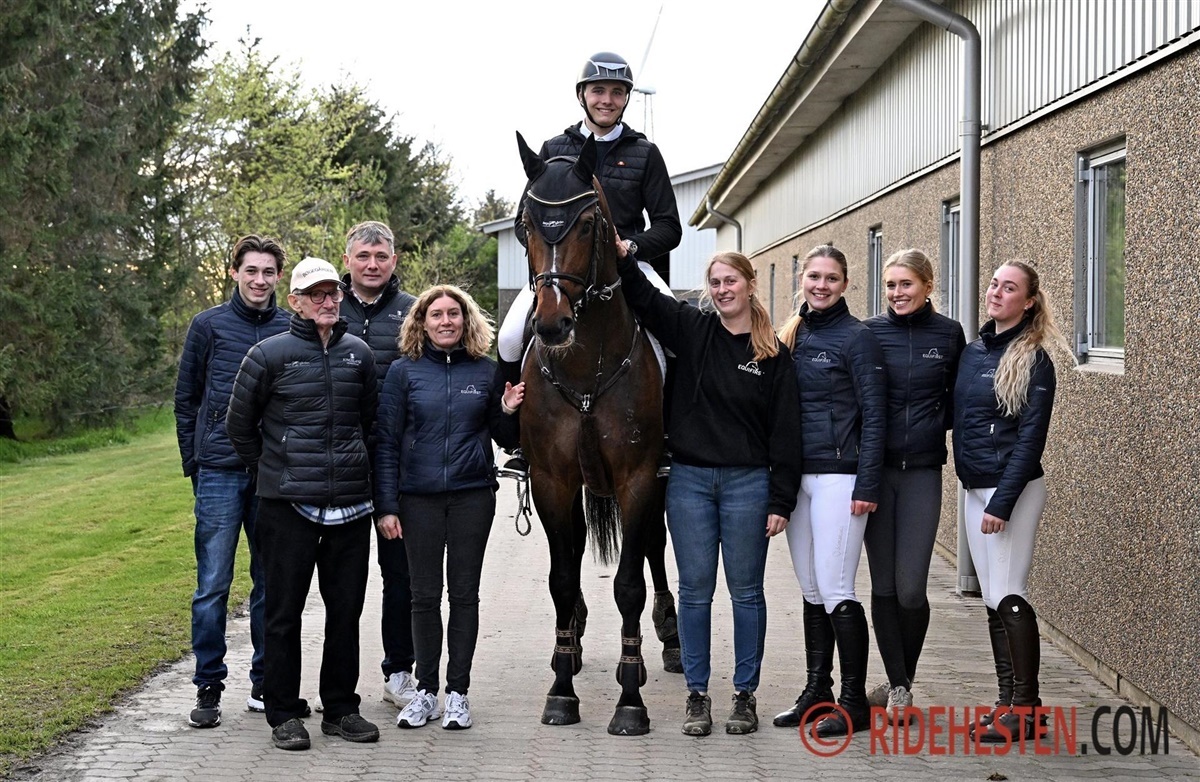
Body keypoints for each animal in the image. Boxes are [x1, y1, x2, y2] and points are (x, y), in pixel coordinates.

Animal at [515, 131, 667, 735]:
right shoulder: (552, 479)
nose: (552, 324)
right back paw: (574, 643)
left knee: (653, 552)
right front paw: (561, 690)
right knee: (576, 556)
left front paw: (631, 699)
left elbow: (628, 583)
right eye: (526, 225)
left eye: (585, 224)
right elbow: (561, 577)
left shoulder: (638, 478)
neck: (584, 369)